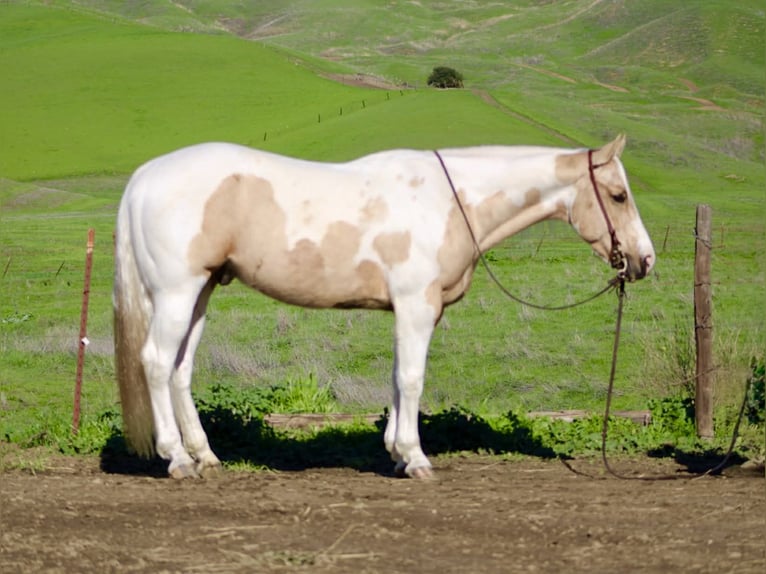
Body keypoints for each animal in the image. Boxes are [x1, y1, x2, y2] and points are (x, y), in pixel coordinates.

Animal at [113, 134, 655, 479]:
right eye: (618, 195)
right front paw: (416, 459)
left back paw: (204, 456)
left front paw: (396, 452)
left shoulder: (411, 310)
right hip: (177, 293)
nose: (644, 259)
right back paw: (177, 460)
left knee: (181, 369)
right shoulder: (416, 306)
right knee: (156, 364)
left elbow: (397, 378)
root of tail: (144, 176)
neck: (451, 200)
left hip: (201, 293)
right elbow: (413, 379)